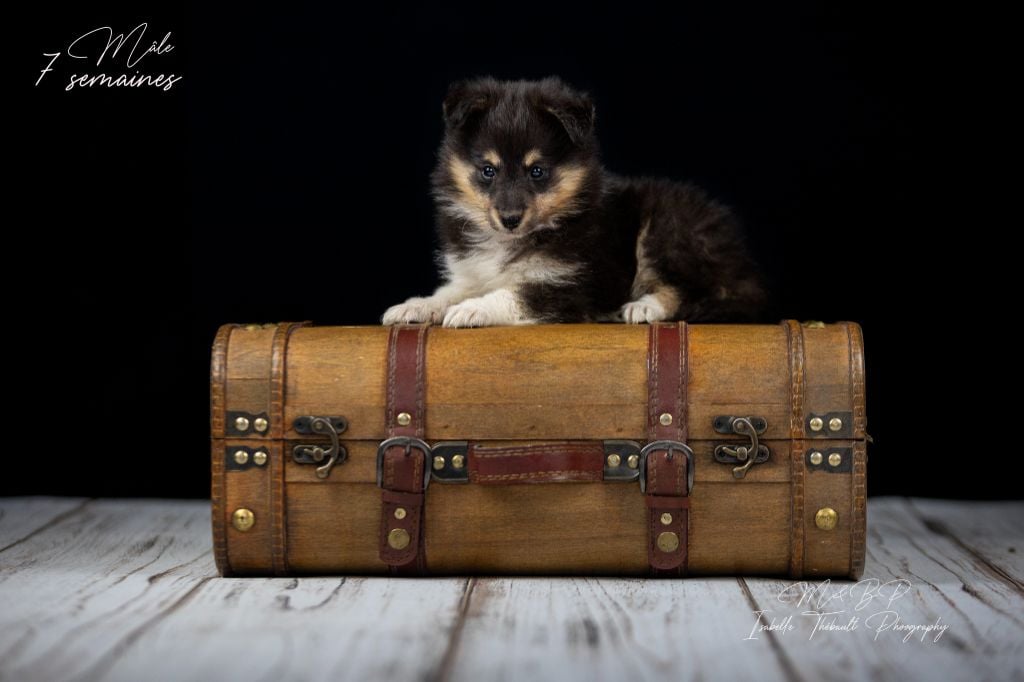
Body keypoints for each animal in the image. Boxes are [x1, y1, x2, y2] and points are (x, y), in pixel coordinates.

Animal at [380, 76, 765, 327]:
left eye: (537, 171)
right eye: (488, 170)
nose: (509, 218)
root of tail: (743, 263)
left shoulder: (571, 283)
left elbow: (513, 294)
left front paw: (471, 310)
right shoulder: (473, 271)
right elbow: (451, 290)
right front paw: (416, 307)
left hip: (668, 228)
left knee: (690, 289)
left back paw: (644, 307)